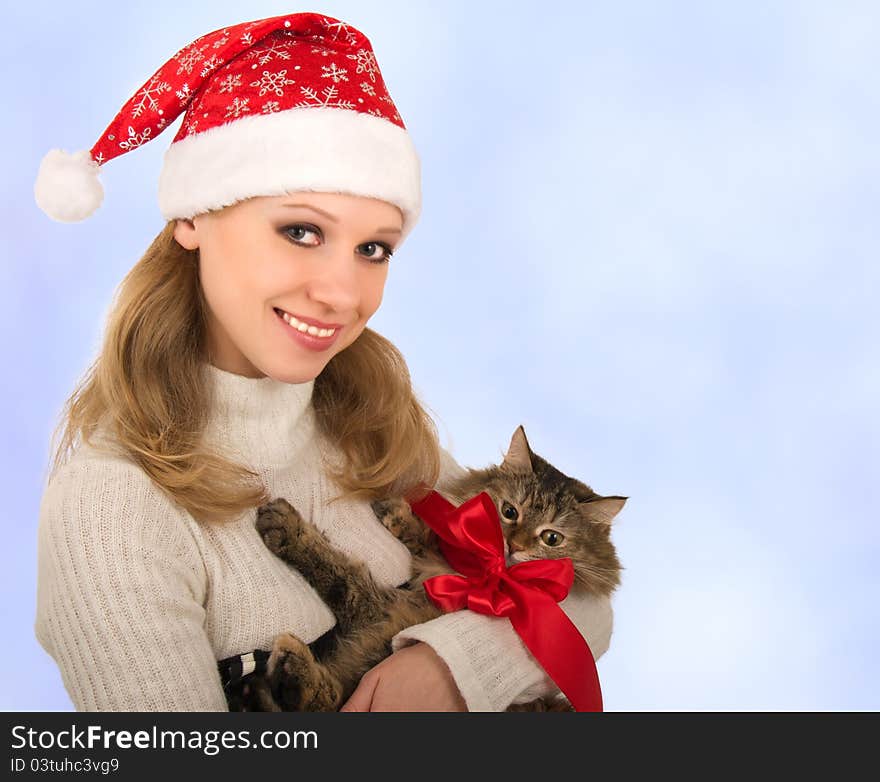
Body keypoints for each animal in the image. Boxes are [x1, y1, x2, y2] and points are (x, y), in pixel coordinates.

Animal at [237, 426, 624, 712]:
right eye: (509, 511)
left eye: (551, 538)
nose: (515, 547)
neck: (483, 576)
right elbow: (429, 535)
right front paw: (399, 513)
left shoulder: (386, 608)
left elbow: (343, 576)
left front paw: (291, 530)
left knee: (323, 699)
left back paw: (291, 672)